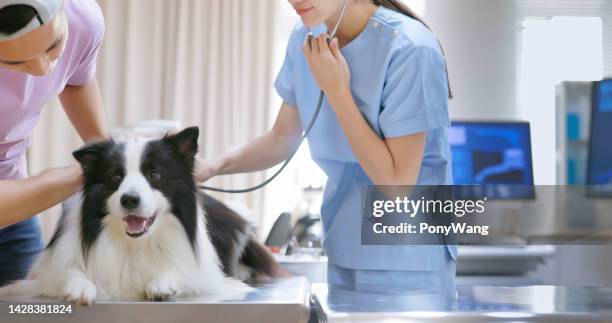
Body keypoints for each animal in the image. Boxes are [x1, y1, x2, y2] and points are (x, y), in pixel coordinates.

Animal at [0, 128, 286, 306]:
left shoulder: (205, 276)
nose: (129, 199)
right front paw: (80, 287)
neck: (133, 243)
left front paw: (162, 284)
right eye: (115, 177)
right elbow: (68, 274)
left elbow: (180, 273)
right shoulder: (48, 272)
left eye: (155, 175)